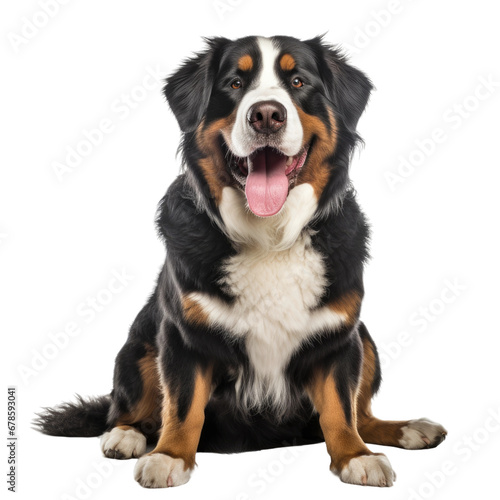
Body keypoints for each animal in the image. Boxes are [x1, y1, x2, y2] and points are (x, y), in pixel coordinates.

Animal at [37, 35, 448, 488]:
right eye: (235, 83)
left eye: (298, 81)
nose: (266, 115)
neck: (269, 237)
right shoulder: (183, 335)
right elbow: (182, 407)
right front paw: (169, 456)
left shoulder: (339, 336)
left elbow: (341, 408)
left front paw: (355, 456)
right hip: (139, 343)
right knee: (125, 408)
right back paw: (127, 436)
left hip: (366, 339)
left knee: (363, 414)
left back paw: (408, 429)